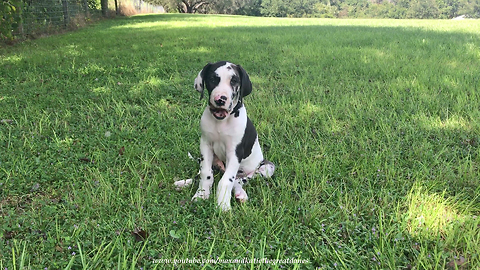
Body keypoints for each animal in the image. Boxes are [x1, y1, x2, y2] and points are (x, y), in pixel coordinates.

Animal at [175, 61, 274, 211]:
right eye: (212, 79)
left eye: (234, 81)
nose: (220, 99)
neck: (221, 122)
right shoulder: (205, 145)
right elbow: (205, 173)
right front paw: (201, 194)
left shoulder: (235, 152)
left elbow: (227, 180)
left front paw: (223, 205)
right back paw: (183, 183)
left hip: (266, 167)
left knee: (238, 180)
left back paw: (240, 193)